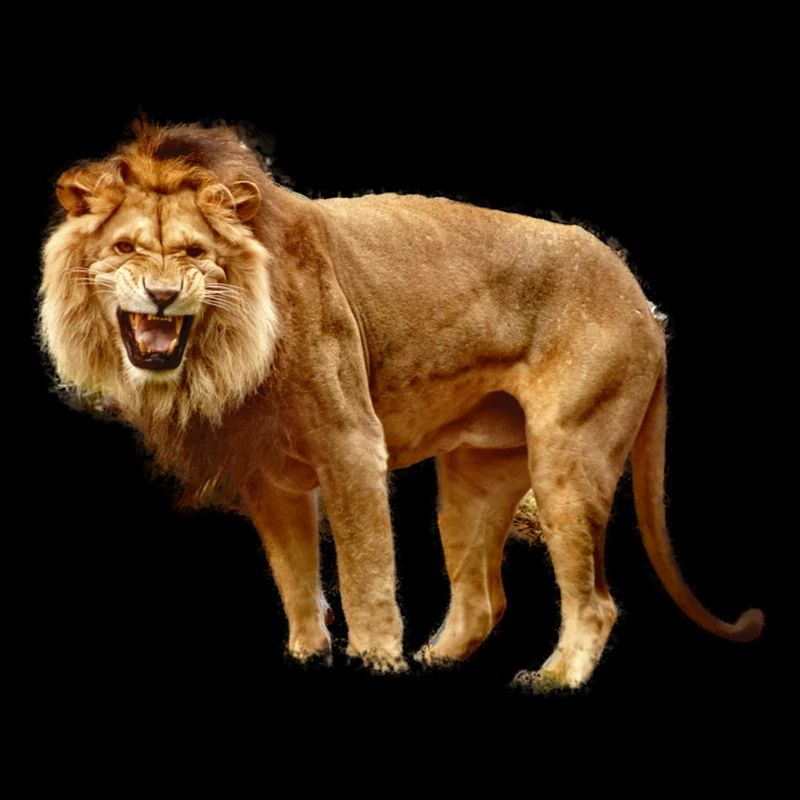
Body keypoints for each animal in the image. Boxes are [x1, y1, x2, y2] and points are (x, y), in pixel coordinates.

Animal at [39, 122, 763, 689]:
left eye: (195, 253)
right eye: (125, 248)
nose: (162, 295)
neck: (225, 351)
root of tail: (643, 303)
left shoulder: (351, 443)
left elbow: (364, 573)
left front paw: (376, 661)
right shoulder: (269, 476)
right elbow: (295, 577)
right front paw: (309, 656)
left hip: (569, 453)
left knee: (594, 602)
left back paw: (553, 678)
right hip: (474, 477)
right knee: (482, 600)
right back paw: (438, 661)